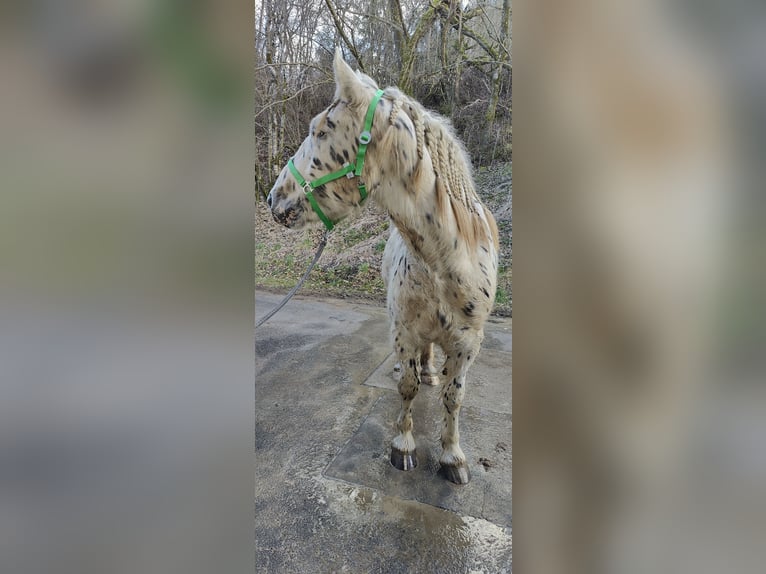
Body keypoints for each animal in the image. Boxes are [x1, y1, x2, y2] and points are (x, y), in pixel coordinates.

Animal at [268, 49, 500, 486]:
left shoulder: (467, 344)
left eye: (320, 130)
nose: (274, 197)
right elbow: (407, 387)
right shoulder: (406, 330)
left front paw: (452, 456)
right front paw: (404, 446)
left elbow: (453, 397)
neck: (445, 263)